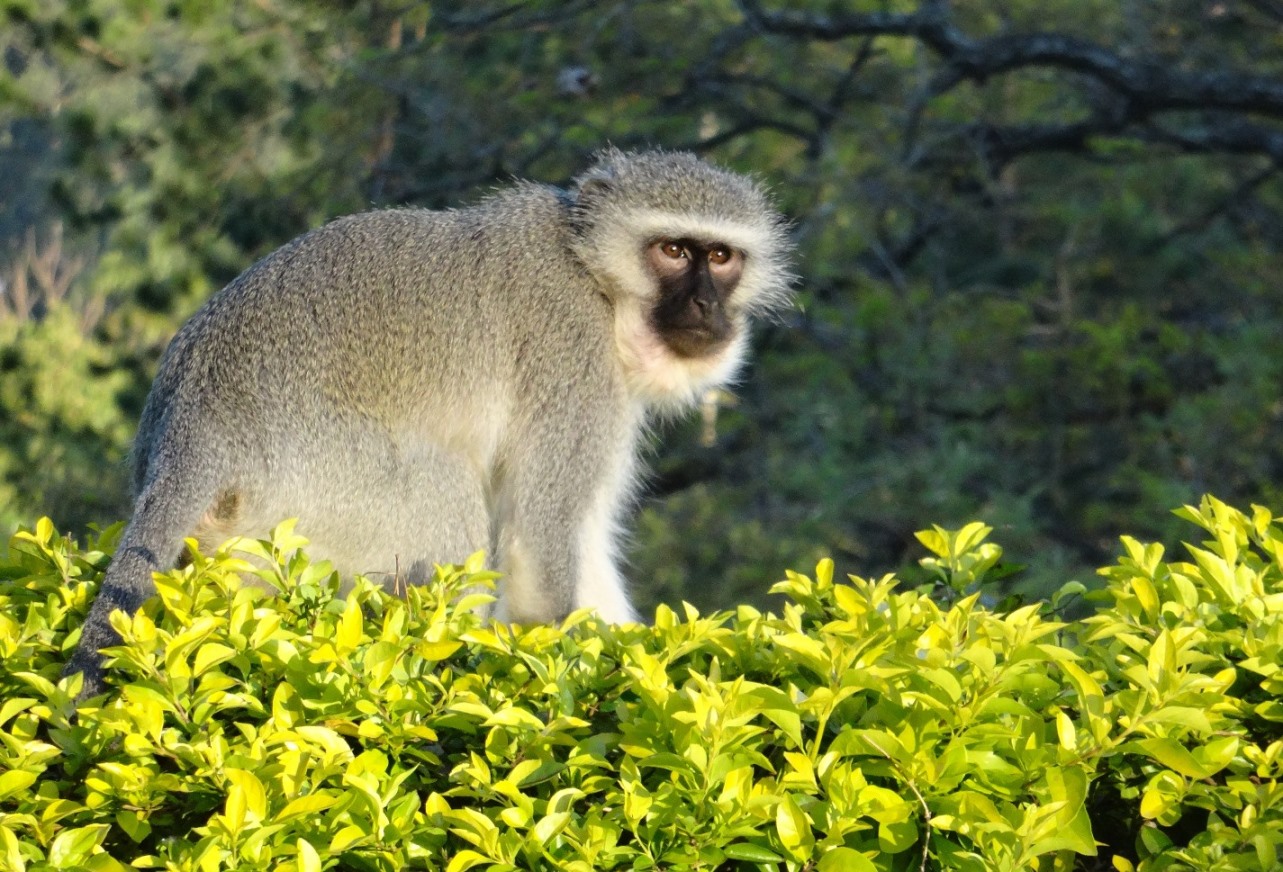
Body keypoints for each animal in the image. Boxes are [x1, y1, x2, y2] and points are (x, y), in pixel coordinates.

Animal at [70, 150, 795, 692]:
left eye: (720, 258)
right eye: (673, 250)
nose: (705, 305)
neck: (595, 279)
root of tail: (195, 432)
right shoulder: (573, 358)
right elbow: (540, 541)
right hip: (325, 495)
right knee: (446, 501)